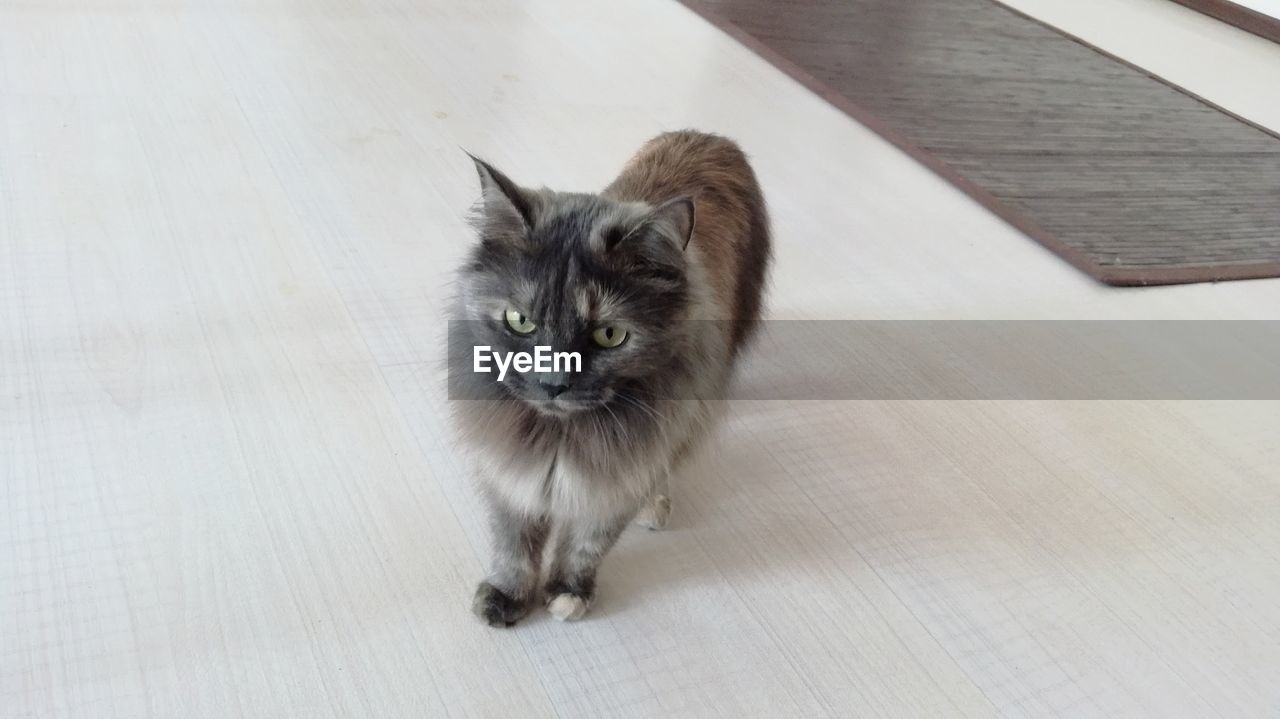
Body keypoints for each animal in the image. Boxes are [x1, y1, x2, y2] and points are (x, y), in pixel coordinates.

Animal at [450, 131, 768, 624]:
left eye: (610, 335)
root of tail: (711, 137)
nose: (553, 383)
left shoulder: (618, 474)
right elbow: (513, 542)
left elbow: (587, 543)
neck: (560, 435)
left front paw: (568, 593)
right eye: (520, 321)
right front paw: (507, 597)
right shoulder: (510, 470)